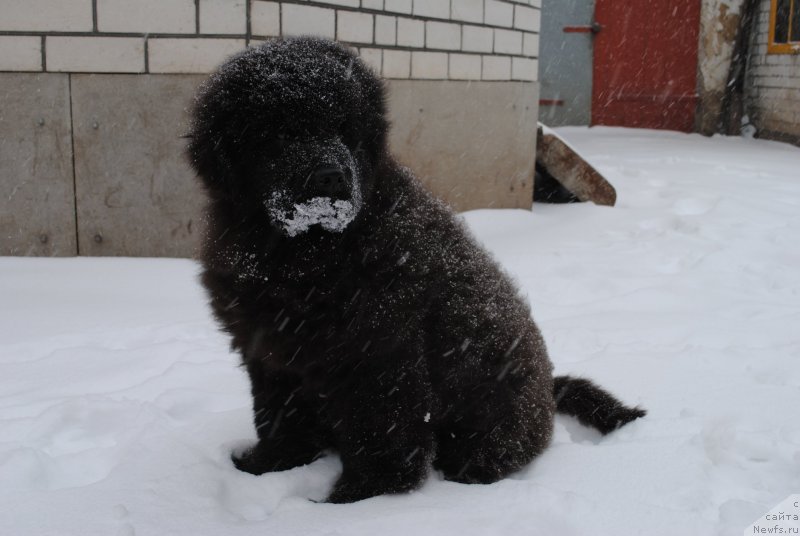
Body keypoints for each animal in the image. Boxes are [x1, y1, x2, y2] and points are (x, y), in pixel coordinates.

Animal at [186, 36, 644, 502]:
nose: (331, 177)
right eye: (282, 134)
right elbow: (278, 415)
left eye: (346, 132)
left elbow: (381, 432)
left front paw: (358, 498)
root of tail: (548, 391)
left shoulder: (380, 354)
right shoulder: (270, 352)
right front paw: (268, 465)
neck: (306, 252)